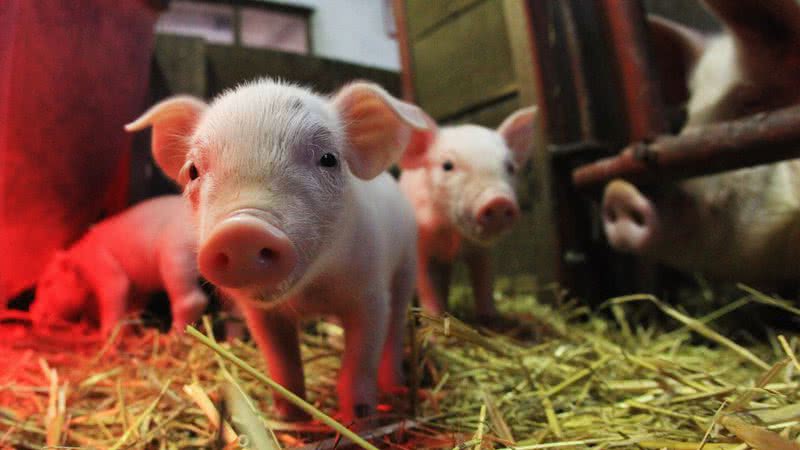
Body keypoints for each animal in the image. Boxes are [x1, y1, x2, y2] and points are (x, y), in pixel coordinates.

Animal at [31, 195, 208, 336]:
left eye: (48, 283)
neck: (83, 262)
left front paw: (106, 335)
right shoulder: (138, 289)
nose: (33, 311)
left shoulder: (104, 267)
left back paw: (171, 337)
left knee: (193, 300)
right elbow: (132, 308)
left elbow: (116, 289)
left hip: (175, 256)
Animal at [126, 80, 424, 422]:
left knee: (396, 327)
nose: (242, 230)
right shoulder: (260, 314)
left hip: (407, 265)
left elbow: (358, 366)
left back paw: (395, 388)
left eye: (328, 159)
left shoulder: (370, 295)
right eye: (192, 171)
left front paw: (359, 422)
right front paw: (291, 419)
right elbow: (282, 366)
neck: (312, 293)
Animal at [400, 108, 536, 320]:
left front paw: (490, 316)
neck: (453, 235)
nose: (498, 201)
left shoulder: (481, 251)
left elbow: (484, 279)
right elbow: (426, 283)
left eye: (510, 167)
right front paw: (435, 318)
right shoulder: (421, 247)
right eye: (447, 166)